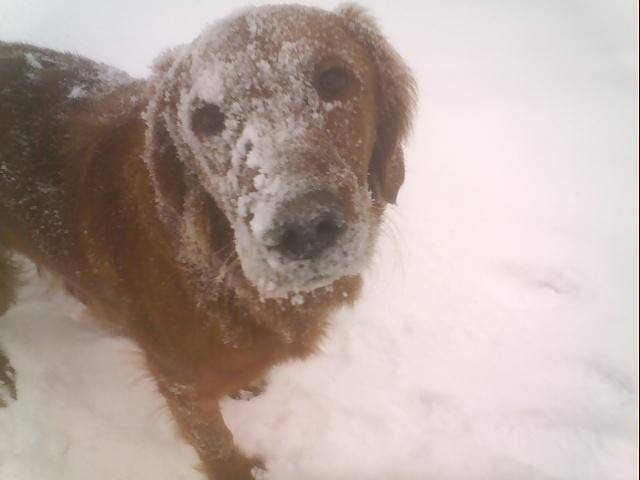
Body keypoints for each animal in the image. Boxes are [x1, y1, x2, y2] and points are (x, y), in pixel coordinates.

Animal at [0, 4, 416, 480]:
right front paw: (241, 469)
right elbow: (214, 441)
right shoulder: (179, 380)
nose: (305, 227)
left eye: (334, 79)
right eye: (207, 118)